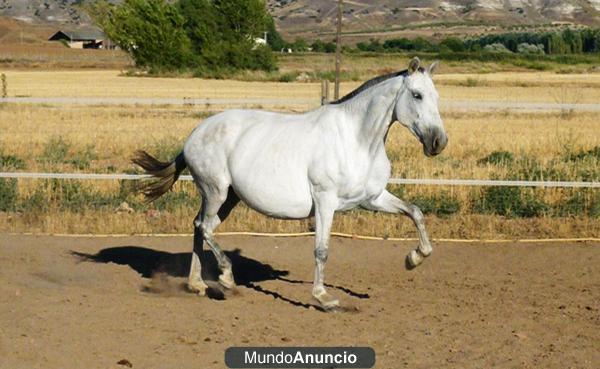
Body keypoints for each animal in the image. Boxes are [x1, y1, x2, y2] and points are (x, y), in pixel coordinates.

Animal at [134, 56, 448, 308]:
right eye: (417, 95)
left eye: (436, 96)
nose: (438, 142)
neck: (357, 140)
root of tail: (194, 135)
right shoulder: (325, 201)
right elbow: (321, 250)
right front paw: (324, 298)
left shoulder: (372, 198)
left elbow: (415, 212)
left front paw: (414, 258)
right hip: (216, 192)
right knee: (204, 228)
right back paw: (226, 278)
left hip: (227, 198)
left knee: (199, 227)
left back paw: (198, 284)